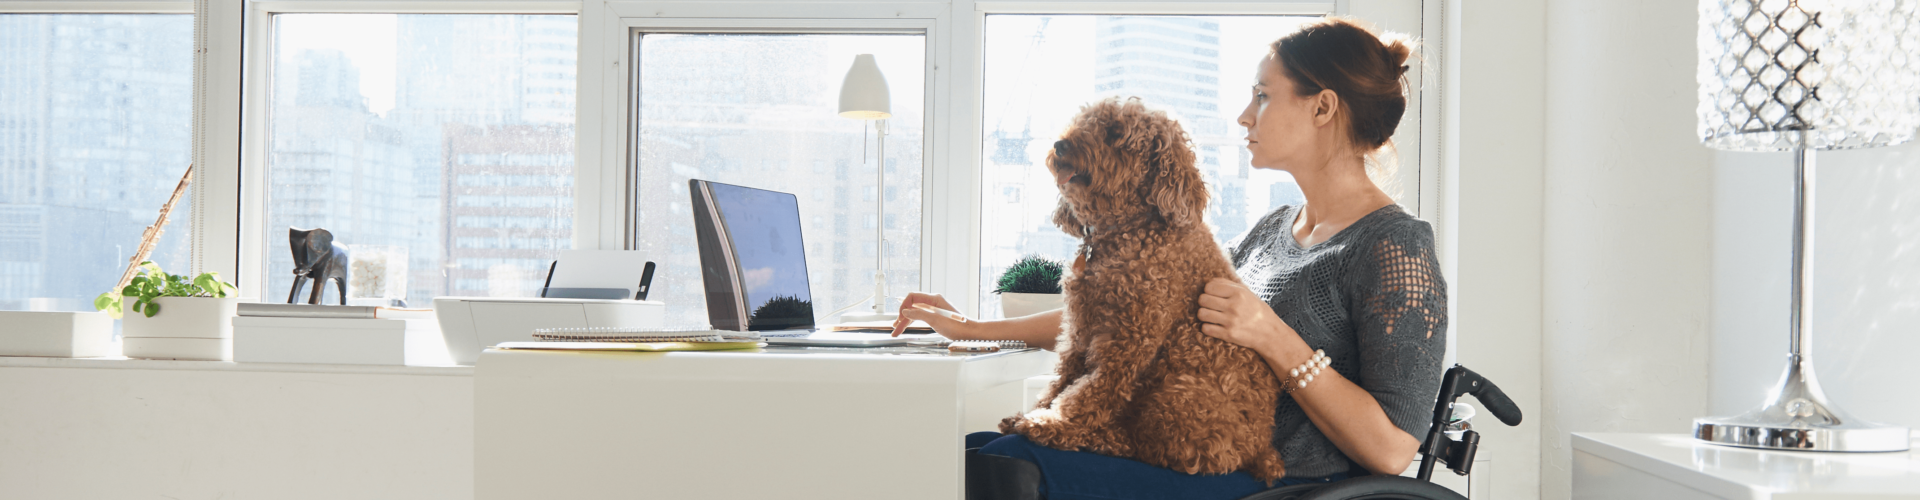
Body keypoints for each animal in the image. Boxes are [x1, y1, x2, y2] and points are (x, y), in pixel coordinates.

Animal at [998, 97, 1282, 480]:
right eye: (1082, 122)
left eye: (1115, 133)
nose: (1061, 145)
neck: (1130, 231)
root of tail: (1262, 448)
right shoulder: (1079, 329)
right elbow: (1063, 377)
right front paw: (1035, 410)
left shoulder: (1129, 338)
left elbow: (1092, 391)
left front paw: (1054, 422)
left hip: (1179, 397)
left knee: (1159, 451)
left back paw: (1092, 436)